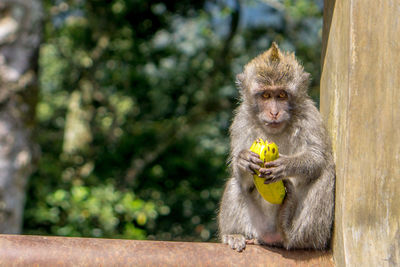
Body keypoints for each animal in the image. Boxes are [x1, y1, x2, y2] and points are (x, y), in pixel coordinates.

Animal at [217, 43, 336, 252]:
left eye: (281, 95)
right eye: (265, 95)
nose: (274, 112)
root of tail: (271, 236)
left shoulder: (310, 115)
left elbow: (317, 157)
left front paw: (287, 165)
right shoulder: (241, 120)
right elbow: (242, 177)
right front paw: (243, 160)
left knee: (324, 174)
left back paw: (293, 234)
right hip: (257, 226)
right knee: (235, 183)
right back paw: (234, 234)